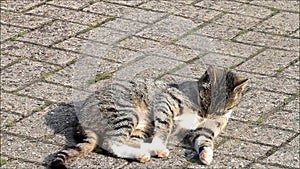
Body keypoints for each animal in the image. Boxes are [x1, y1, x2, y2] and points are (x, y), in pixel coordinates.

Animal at [49, 66, 248, 168]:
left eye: (222, 108)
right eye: (204, 101)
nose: (204, 114)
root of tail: (81, 120)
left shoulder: (203, 129)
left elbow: (204, 140)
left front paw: (206, 154)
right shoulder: (166, 102)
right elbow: (165, 126)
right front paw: (160, 144)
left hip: (141, 126)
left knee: (128, 141)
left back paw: (146, 151)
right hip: (127, 113)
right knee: (111, 143)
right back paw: (150, 151)